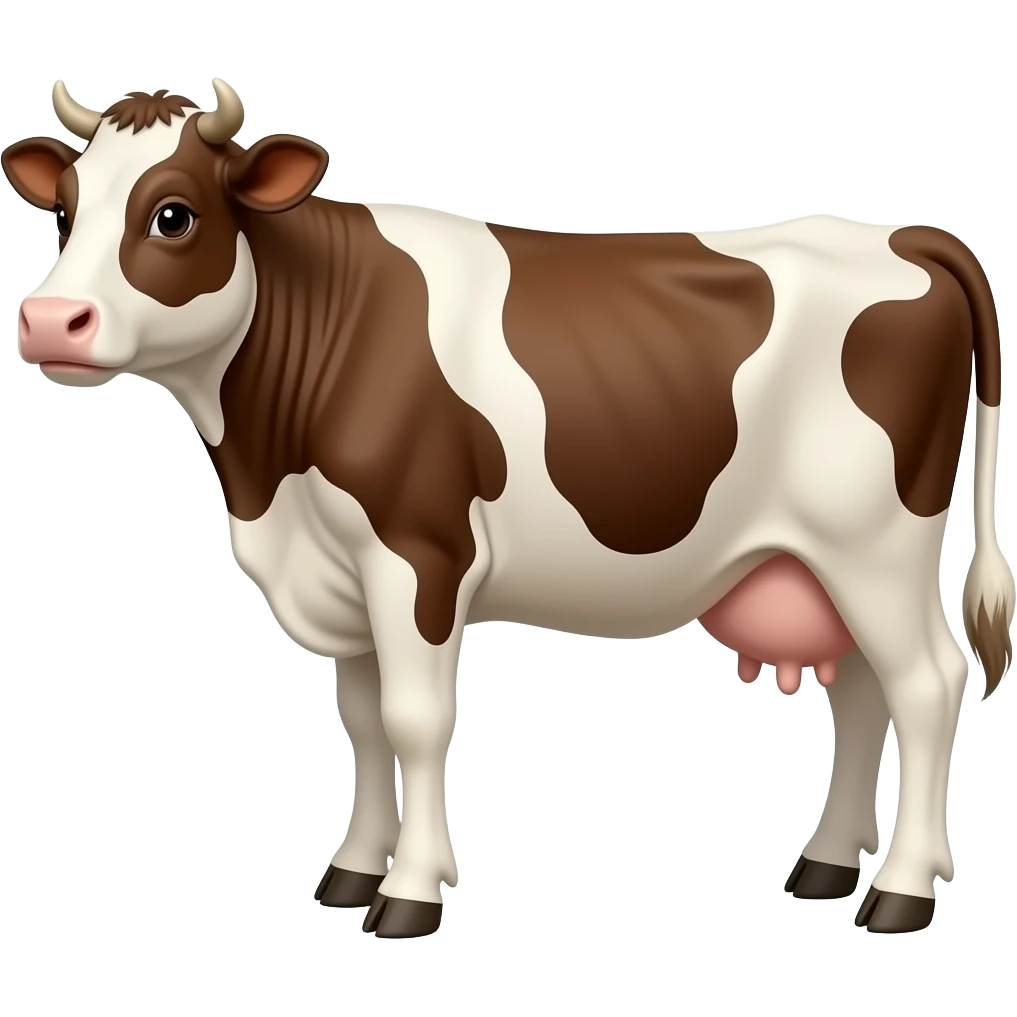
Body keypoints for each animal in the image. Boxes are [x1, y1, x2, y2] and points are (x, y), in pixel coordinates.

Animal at [4, 79, 1013, 939]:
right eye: (64, 210)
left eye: (171, 214)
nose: (50, 321)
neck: (267, 475)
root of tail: (901, 232)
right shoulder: (343, 571)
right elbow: (362, 719)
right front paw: (352, 871)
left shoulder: (417, 552)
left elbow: (414, 718)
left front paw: (410, 892)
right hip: (818, 561)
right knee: (862, 692)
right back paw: (825, 864)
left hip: (874, 542)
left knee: (926, 683)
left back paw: (900, 891)